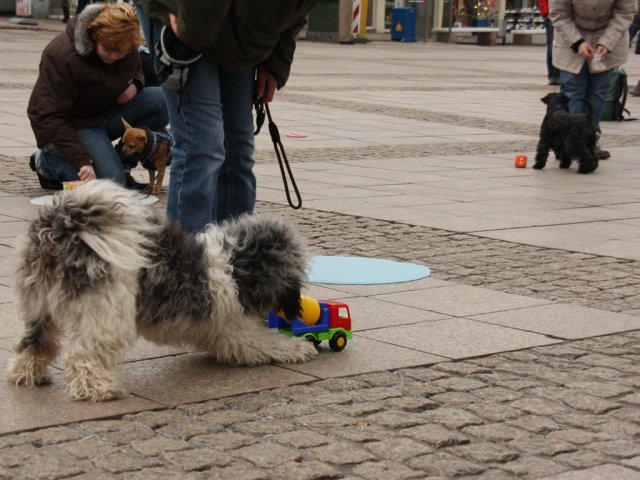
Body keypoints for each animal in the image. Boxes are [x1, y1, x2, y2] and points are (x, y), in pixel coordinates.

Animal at [7, 180, 317, 401]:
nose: (296, 308)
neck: (235, 263)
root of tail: (63, 224)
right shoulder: (239, 333)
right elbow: (268, 342)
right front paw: (299, 347)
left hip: (37, 304)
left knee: (33, 343)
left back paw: (27, 374)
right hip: (107, 311)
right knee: (83, 354)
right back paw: (97, 388)